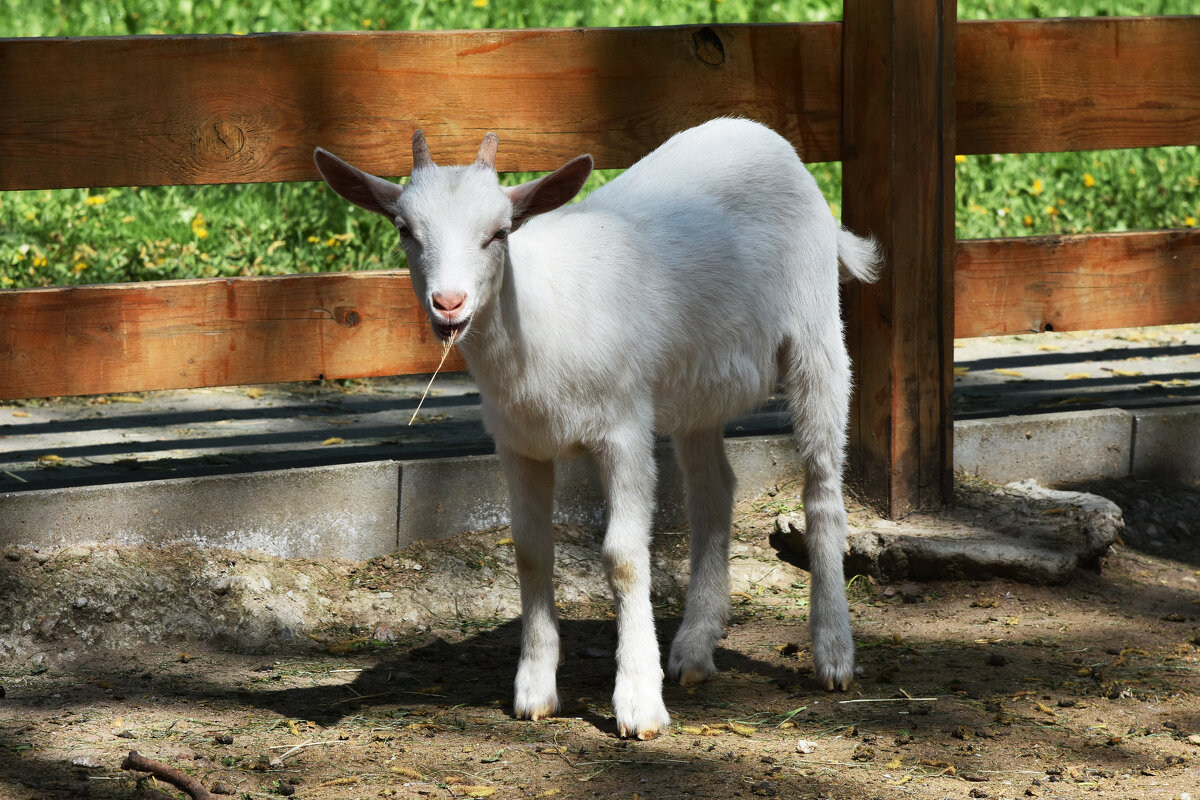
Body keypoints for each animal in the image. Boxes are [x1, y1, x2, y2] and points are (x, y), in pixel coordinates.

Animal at [316, 118, 883, 738]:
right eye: (405, 230)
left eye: (499, 232)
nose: (449, 303)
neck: (536, 322)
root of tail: (766, 137)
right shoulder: (518, 442)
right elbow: (531, 551)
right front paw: (535, 689)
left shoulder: (624, 428)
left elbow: (624, 556)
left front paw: (638, 701)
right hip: (696, 381)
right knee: (714, 491)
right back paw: (693, 648)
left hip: (816, 331)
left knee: (822, 489)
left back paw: (833, 652)